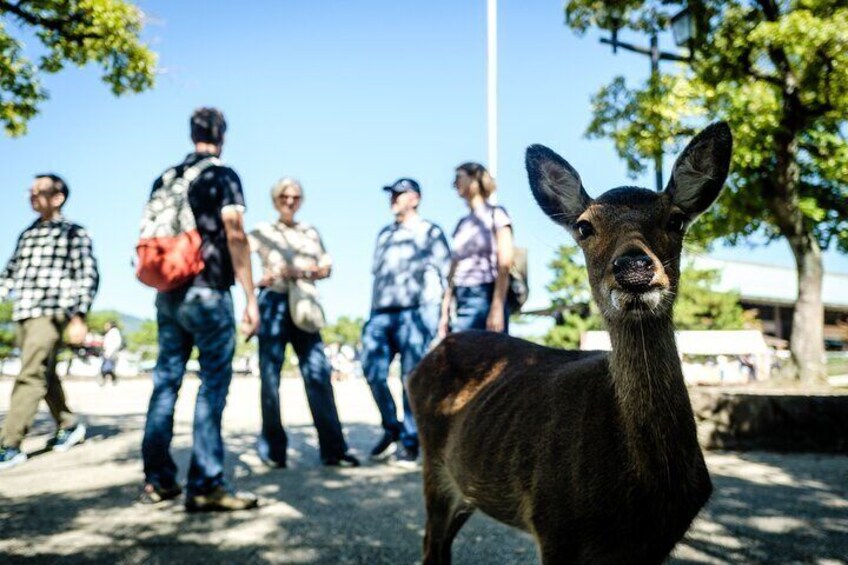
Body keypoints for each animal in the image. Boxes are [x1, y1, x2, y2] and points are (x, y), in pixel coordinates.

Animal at [408, 121, 732, 560]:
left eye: (677, 220)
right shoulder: (554, 523)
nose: (634, 267)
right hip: (435, 466)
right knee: (431, 542)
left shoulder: (658, 542)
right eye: (584, 226)